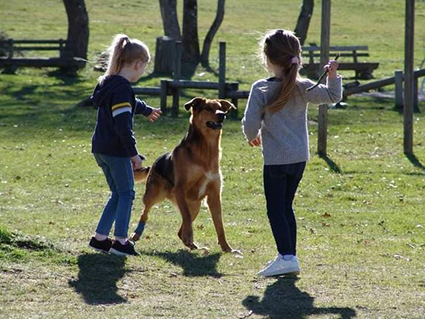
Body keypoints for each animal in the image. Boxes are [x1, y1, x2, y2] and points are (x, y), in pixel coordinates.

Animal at [131, 97, 237, 252]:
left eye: (221, 108)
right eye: (208, 108)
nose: (222, 115)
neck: (206, 150)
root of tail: (155, 162)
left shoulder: (214, 196)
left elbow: (220, 225)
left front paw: (227, 248)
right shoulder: (180, 189)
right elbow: (186, 217)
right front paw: (190, 236)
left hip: (195, 206)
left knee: (180, 230)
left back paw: (191, 244)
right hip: (155, 195)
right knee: (145, 213)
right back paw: (136, 235)